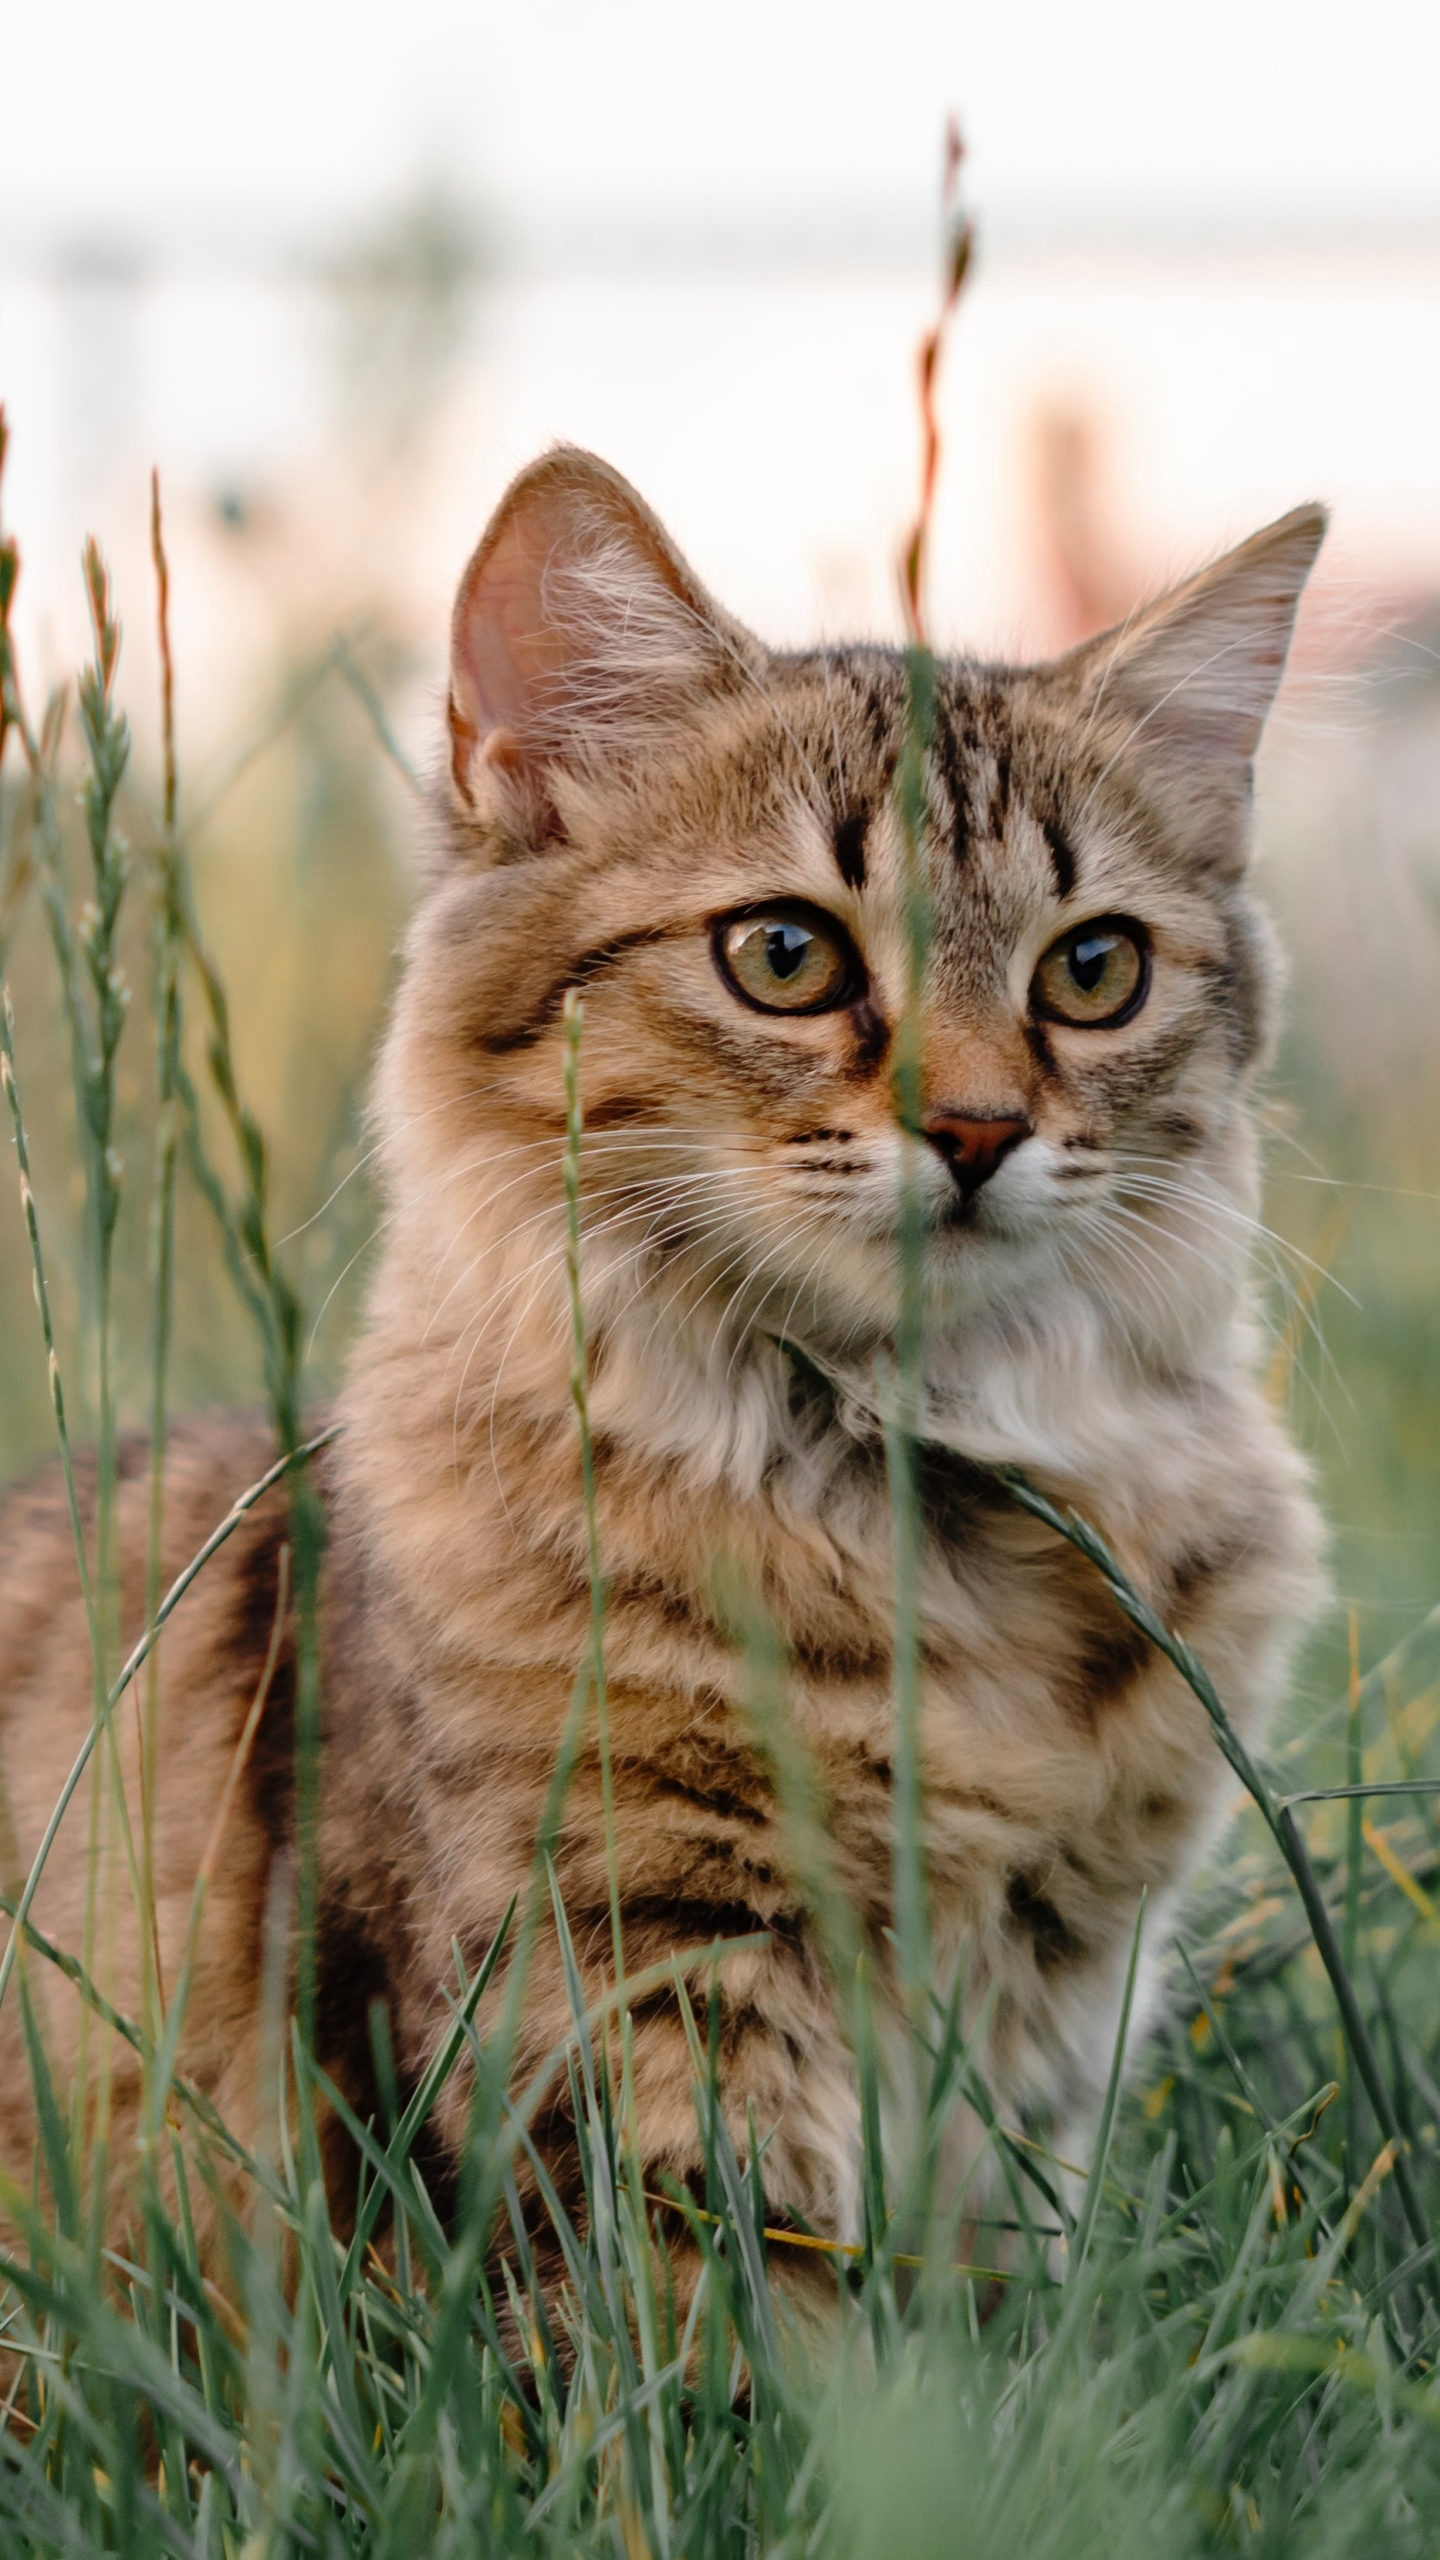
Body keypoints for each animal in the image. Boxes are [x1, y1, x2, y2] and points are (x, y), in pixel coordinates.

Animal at [0, 450, 1322, 2314]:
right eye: (785, 955)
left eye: (1093, 970)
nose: (982, 1131)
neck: (906, 1505)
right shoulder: (620, 1989)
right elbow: (724, 2335)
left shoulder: (1044, 2034)